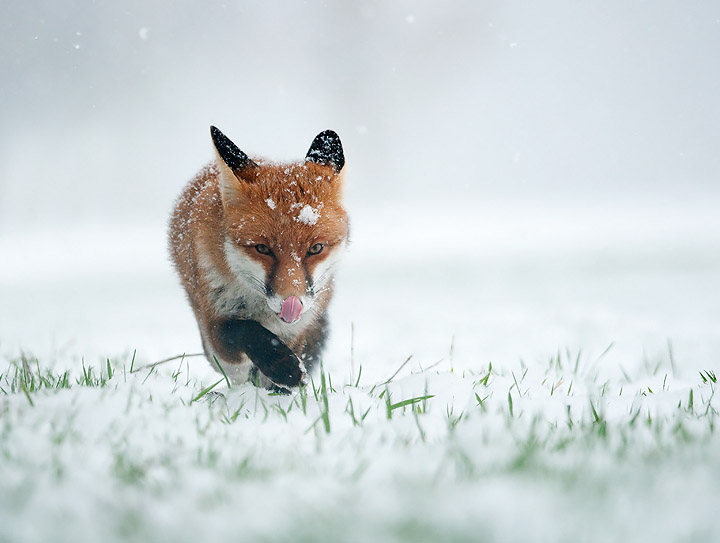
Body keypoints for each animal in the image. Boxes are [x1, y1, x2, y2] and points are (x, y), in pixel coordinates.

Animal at [168, 126, 349, 390]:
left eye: (316, 248)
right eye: (262, 249)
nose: (290, 303)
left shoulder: (298, 329)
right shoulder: (215, 325)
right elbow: (246, 331)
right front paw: (283, 366)